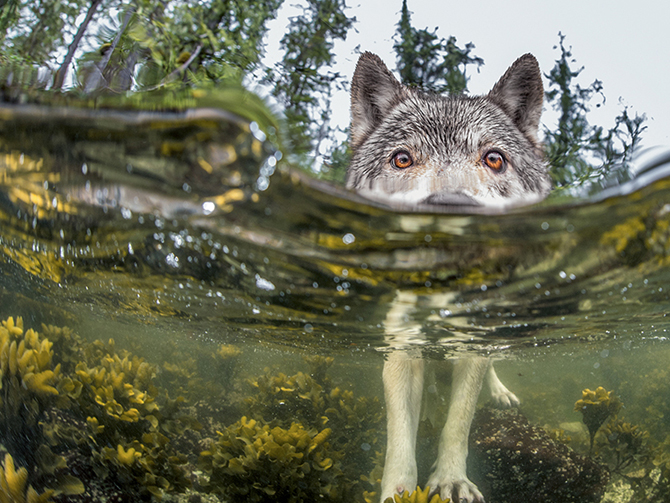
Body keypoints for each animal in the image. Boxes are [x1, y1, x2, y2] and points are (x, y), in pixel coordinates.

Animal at [346, 53, 552, 502]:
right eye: (402, 159)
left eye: (494, 159)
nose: (450, 207)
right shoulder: (402, 350)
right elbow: (399, 438)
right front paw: (399, 492)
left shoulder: (471, 346)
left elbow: (458, 422)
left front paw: (451, 481)